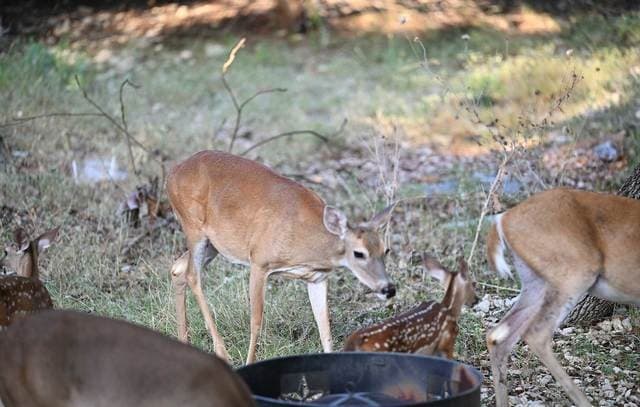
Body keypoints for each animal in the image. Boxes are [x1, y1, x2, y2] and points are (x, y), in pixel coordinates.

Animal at [167, 150, 397, 364]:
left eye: (385, 250)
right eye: (359, 253)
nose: (388, 289)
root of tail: (173, 173)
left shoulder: (317, 278)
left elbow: (325, 327)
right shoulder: (259, 261)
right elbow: (256, 322)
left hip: (214, 244)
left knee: (178, 268)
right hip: (194, 227)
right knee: (193, 275)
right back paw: (222, 353)